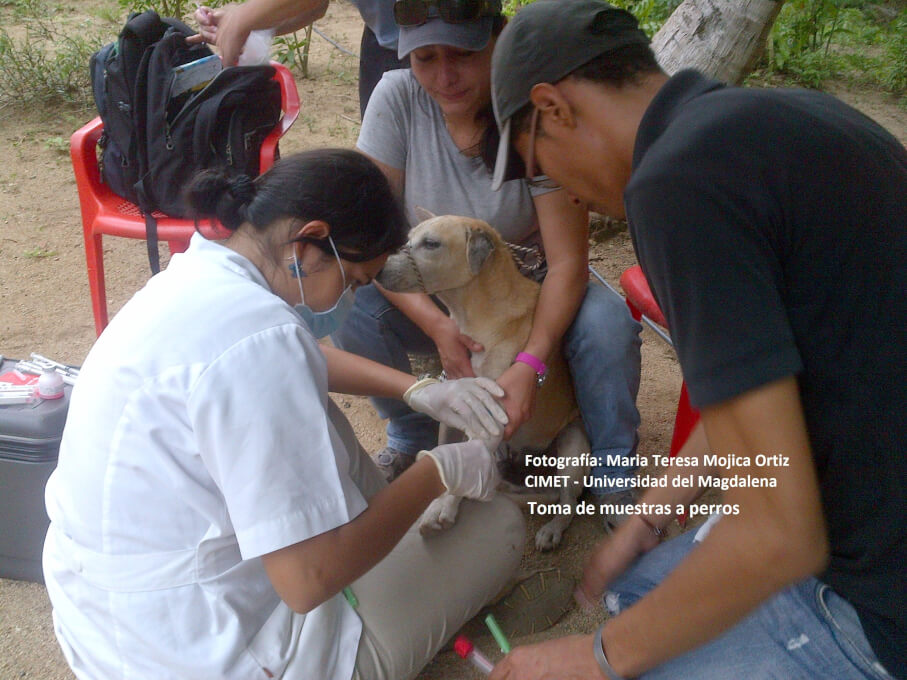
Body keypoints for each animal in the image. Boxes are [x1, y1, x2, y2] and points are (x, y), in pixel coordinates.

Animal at [376, 215, 588, 548]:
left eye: (431, 243)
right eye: (407, 237)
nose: (376, 272)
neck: (473, 317)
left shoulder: (494, 414)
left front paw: (443, 509)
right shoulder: (454, 406)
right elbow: (446, 456)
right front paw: (440, 499)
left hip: (573, 448)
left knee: (567, 502)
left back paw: (552, 529)